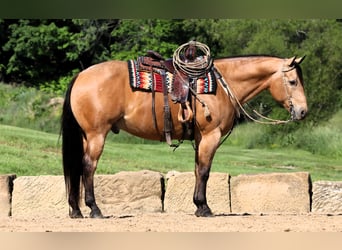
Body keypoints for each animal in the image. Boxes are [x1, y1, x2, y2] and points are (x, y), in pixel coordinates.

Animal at [60, 51, 308, 218]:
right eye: (293, 81)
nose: (303, 111)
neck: (221, 85)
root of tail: (80, 76)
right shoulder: (210, 136)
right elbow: (205, 172)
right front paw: (204, 208)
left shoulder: (200, 139)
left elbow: (198, 170)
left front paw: (198, 206)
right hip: (96, 134)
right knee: (88, 167)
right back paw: (94, 209)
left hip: (86, 136)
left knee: (77, 168)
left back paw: (76, 210)